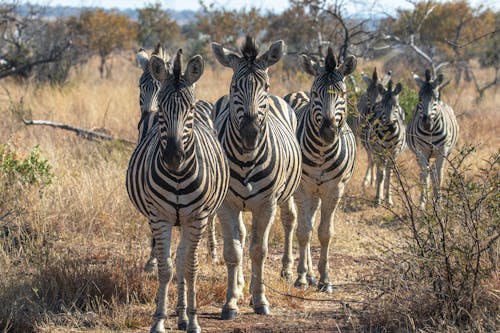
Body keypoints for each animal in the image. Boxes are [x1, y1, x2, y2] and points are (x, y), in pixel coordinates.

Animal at [135, 44, 221, 272]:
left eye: (158, 89)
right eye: (140, 87)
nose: (174, 157)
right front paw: (153, 259)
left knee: (211, 218)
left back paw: (213, 252)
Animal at [210, 36, 300, 320]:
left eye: (266, 86)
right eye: (233, 87)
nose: (250, 132)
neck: (246, 157)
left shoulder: (266, 204)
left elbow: (259, 251)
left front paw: (260, 300)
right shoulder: (226, 204)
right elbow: (233, 251)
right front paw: (230, 302)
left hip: (287, 193)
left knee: (290, 220)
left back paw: (287, 271)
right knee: (240, 236)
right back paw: (240, 286)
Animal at [284, 46, 358, 290]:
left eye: (343, 95)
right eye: (316, 94)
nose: (328, 131)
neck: (321, 153)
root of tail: (298, 92)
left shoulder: (335, 190)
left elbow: (325, 233)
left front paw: (325, 278)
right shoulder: (301, 189)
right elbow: (304, 231)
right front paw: (300, 277)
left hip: (318, 192)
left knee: (311, 217)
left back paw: (311, 275)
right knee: (291, 220)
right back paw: (290, 270)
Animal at [408, 68, 458, 206]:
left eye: (435, 98)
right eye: (419, 98)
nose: (426, 123)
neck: (430, 132)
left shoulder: (443, 151)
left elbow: (439, 175)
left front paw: (439, 203)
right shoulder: (421, 151)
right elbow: (424, 177)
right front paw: (422, 204)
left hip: (444, 153)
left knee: (435, 171)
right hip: (421, 154)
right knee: (426, 172)